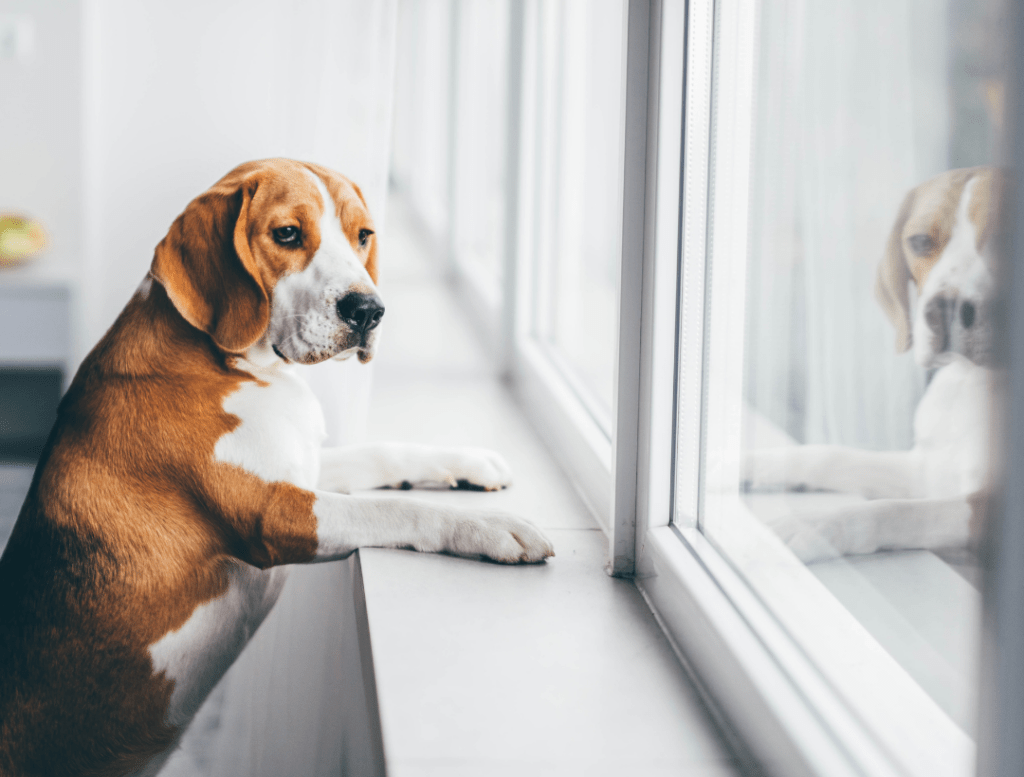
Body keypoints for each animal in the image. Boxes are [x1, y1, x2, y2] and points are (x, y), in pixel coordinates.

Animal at [0, 159, 552, 777]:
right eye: (287, 234)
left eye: (363, 235)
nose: (369, 310)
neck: (235, 364)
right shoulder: (276, 513)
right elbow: (393, 508)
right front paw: (493, 527)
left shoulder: (302, 468)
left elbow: (383, 454)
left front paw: (467, 461)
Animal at [749, 166, 995, 560]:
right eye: (920, 242)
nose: (944, 310)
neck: (973, 384)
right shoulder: (925, 470)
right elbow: (829, 456)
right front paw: (742, 463)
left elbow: (899, 512)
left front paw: (816, 525)